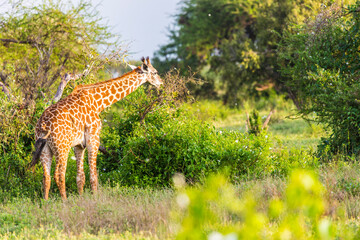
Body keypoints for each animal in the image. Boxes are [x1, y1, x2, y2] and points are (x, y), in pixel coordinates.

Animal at [31, 57, 163, 200]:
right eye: (155, 72)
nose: (161, 83)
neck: (98, 102)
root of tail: (43, 125)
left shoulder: (78, 145)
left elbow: (80, 176)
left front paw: (81, 198)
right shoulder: (93, 138)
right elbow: (94, 175)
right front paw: (95, 198)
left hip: (45, 149)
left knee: (46, 177)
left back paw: (45, 201)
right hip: (62, 147)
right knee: (59, 174)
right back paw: (64, 201)